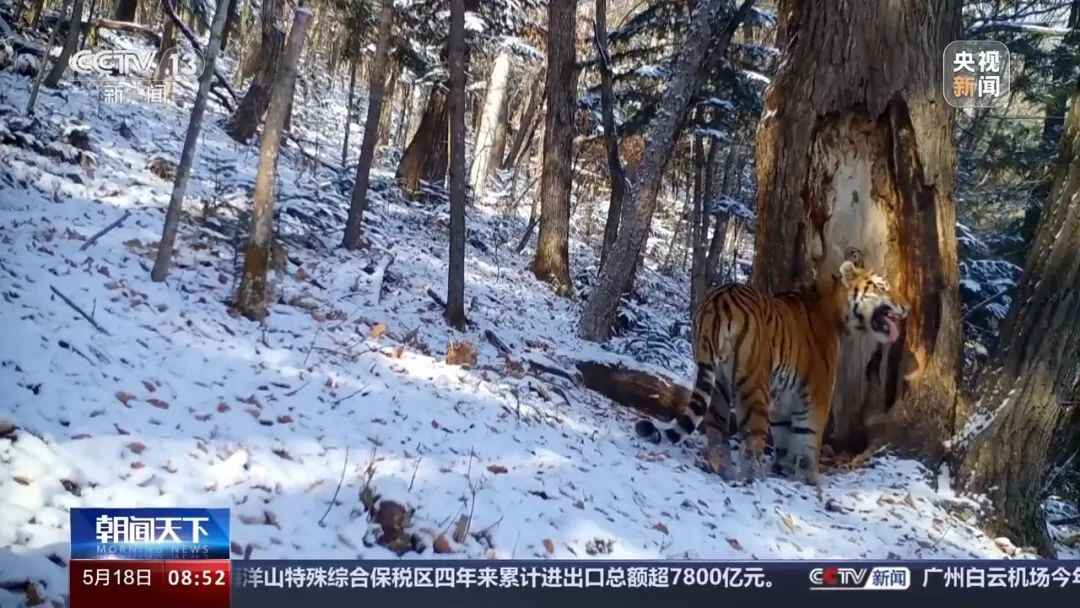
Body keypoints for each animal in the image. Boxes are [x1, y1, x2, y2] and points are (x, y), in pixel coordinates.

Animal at [634, 259, 908, 485]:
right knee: (752, 439)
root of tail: (719, 299)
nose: (906, 308)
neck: (836, 310)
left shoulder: (786, 395)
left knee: (716, 429)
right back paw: (751, 479)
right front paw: (809, 480)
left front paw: (782, 469)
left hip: (716, 380)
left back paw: (721, 468)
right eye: (882, 286)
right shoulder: (817, 392)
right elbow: (808, 437)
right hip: (753, 383)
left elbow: (784, 433)